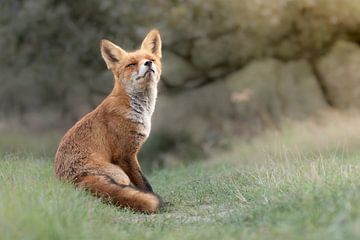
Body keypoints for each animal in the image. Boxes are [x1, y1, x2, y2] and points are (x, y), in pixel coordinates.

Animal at [54, 29, 164, 213]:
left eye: (151, 58)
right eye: (131, 64)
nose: (148, 63)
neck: (137, 109)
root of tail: (75, 181)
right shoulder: (125, 154)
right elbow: (144, 184)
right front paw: (156, 199)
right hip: (119, 173)